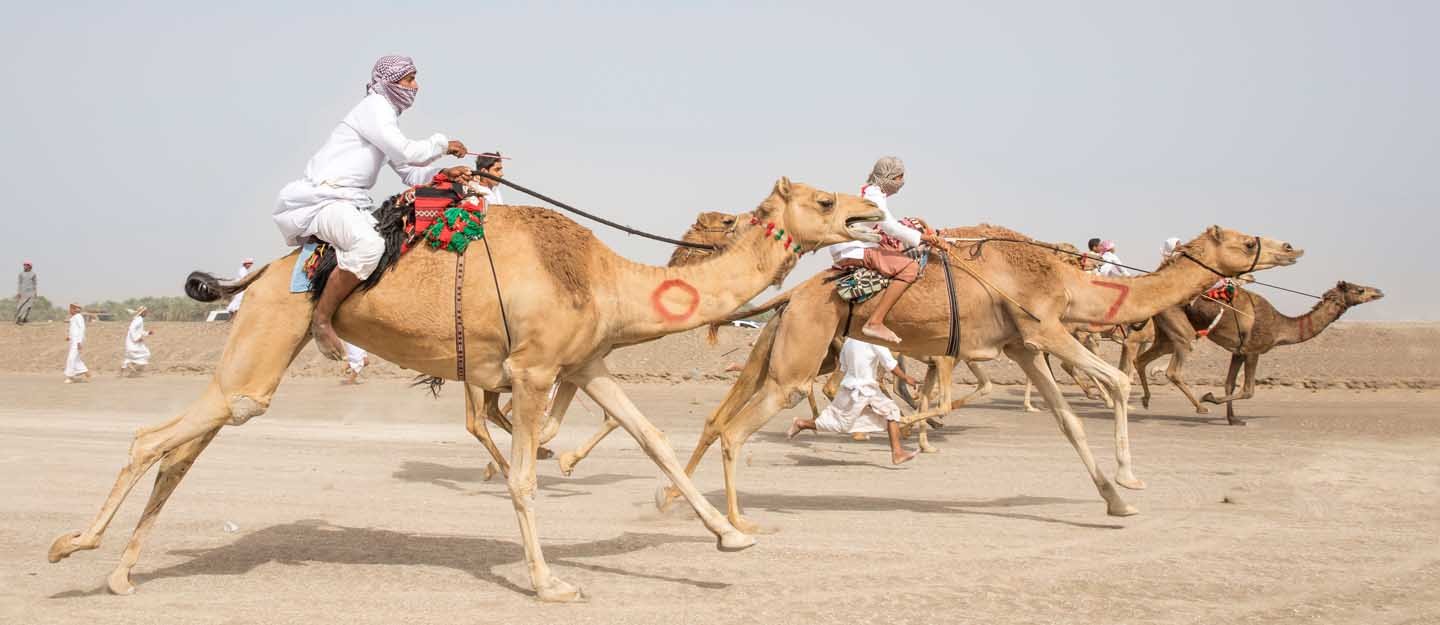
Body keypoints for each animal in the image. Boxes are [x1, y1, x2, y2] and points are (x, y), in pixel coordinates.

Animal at [46, 179, 886, 602]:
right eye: (822, 199)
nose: (871, 213)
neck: (603, 277)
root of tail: (260, 273)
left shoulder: (587, 365)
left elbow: (650, 439)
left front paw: (730, 535)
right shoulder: (536, 371)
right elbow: (521, 477)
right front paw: (550, 582)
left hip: (256, 358)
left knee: (184, 448)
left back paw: (119, 572)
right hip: (265, 337)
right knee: (153, 438)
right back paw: (72, 546)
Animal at [646, 225, 1302, 532]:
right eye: (1248, 240)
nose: (1290, 247)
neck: (1070, 283)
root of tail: (794, 294)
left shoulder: (1023, 347)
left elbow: (1068, 421)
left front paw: (1114, 500)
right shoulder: (1045, 328)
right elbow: (1112, 385)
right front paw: (1129, 481)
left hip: (793, 345)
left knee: (718, 417)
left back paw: (669, 499)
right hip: (800, 352)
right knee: (736, 429)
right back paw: (736, 523)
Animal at [1136, 281, 1384, 424]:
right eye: (1360, 289)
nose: (1379, 291)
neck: (1280, 326)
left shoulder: (1239, 351)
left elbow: (1229, 384)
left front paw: (1234, 419)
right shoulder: (1254, 350)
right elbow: (1248, 390)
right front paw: (1209, 397)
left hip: (1165, 335)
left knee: (1141, 359)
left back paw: (1146, 400)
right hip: (1181, 330)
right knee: (1172, 370)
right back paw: (1201, 407)